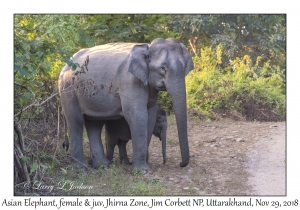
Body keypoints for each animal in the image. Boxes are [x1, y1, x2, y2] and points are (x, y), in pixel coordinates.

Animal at [58, 38, 195, 172]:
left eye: (185, 67)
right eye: (163, 68)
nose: (181, 164)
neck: (147, 47)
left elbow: (150, 116)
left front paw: (147, 166)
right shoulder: (130, 82)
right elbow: (138, 116)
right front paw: (142, 171)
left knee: (94, 124)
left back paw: (103, 165)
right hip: (68, 89)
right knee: (76, 121)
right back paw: (82, 168)